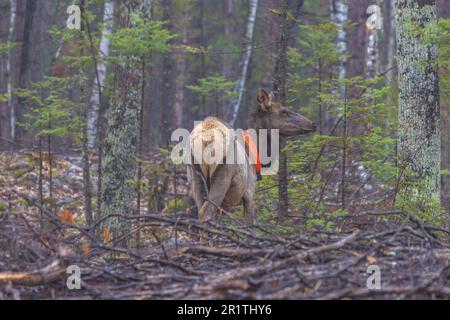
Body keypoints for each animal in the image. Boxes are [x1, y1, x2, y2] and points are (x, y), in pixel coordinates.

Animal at [186, 89, 316, 225]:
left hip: (195, 178)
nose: (313, 124)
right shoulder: (249, 190)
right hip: (222, 176)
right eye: (283, 111)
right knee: (206, 212)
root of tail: (206, 137)